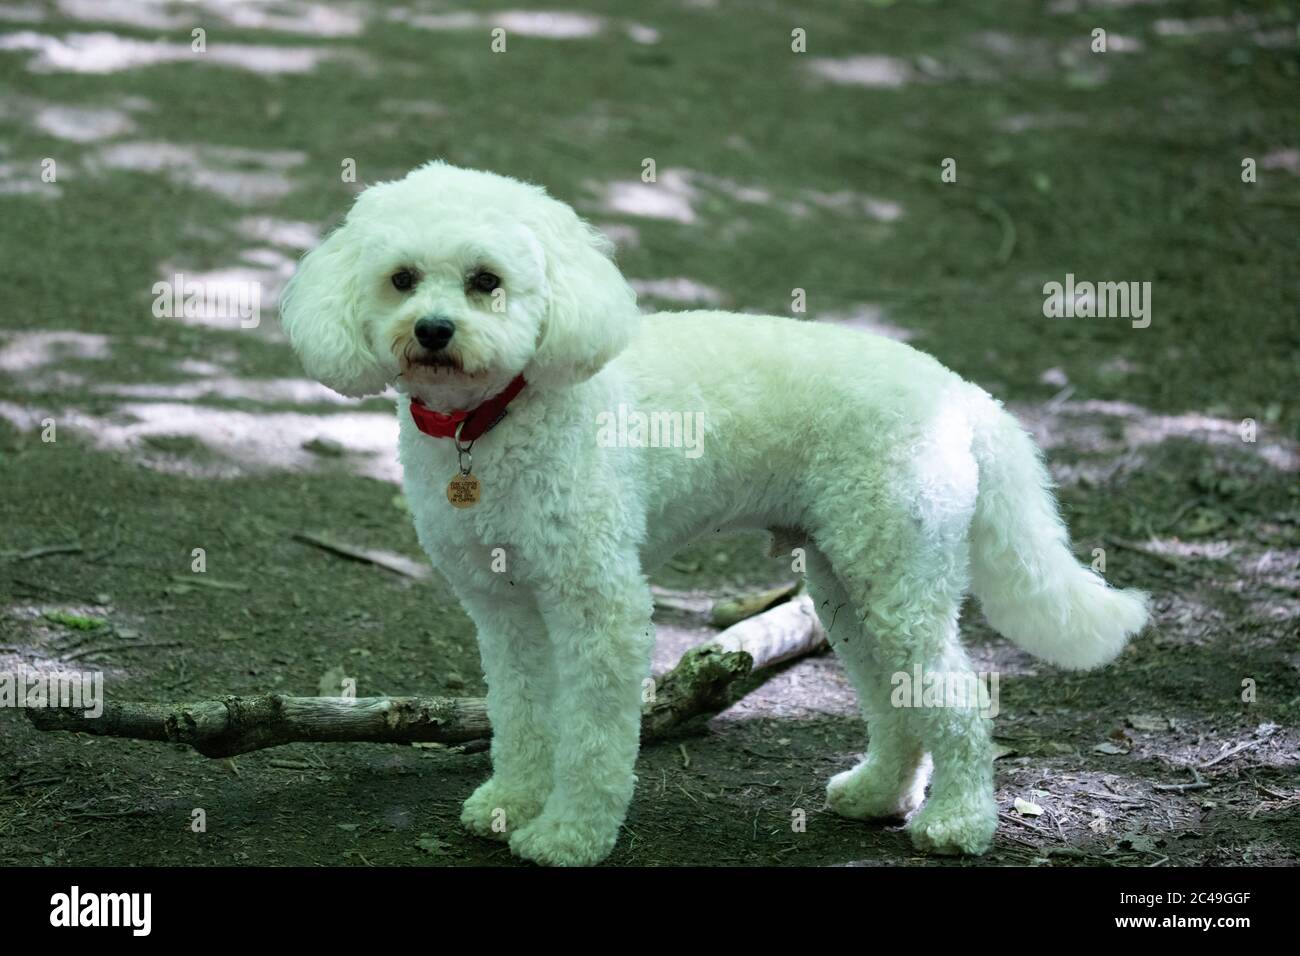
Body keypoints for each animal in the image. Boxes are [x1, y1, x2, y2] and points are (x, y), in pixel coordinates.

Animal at [282, 162, 1149, 868]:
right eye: (401, 279)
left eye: (485, 281)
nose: (433, 331)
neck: (492, 419)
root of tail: (961, 394)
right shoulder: (504, 609)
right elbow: (523, 713)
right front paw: (510, 804)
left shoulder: (601, 604)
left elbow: (592, 734)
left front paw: (569, 834)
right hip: (847, 583)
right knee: (894, 696)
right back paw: (879, 794)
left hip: (900, 574)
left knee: (958, 699)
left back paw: (960, 824)